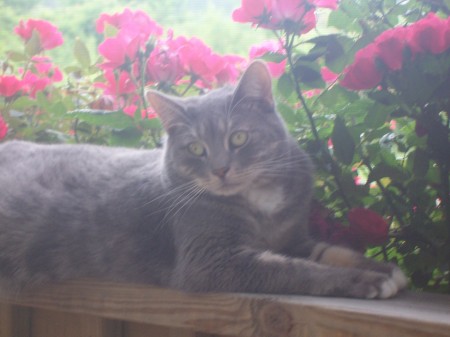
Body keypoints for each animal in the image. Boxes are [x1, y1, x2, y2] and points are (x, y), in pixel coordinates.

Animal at [0, 60, 408, 296]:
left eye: (238, 138)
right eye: (195, 148)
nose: (220, 169)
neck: (259, 201)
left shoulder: (292, 236)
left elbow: (329, 252)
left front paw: (382, 268)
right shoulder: (211, 261)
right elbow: (296, 270)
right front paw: (365, 282)